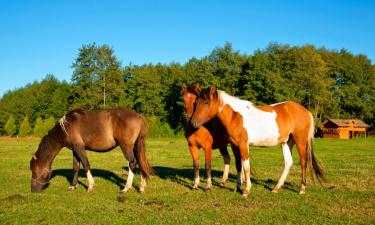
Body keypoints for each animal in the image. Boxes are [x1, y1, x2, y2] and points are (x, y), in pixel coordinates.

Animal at [191, 85, 326, 198]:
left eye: (206, 102)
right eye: (195, 103)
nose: (193, 123)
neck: (236, 116)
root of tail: (305, 111)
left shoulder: (243, 145)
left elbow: (246, 166)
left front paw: (246, 190)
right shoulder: (235, 145)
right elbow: (239, 165)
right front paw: (237, 187)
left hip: (300, 141)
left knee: (303, 162)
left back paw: (302, 189)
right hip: (286, 142)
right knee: (288, 162)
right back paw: (276, 188)